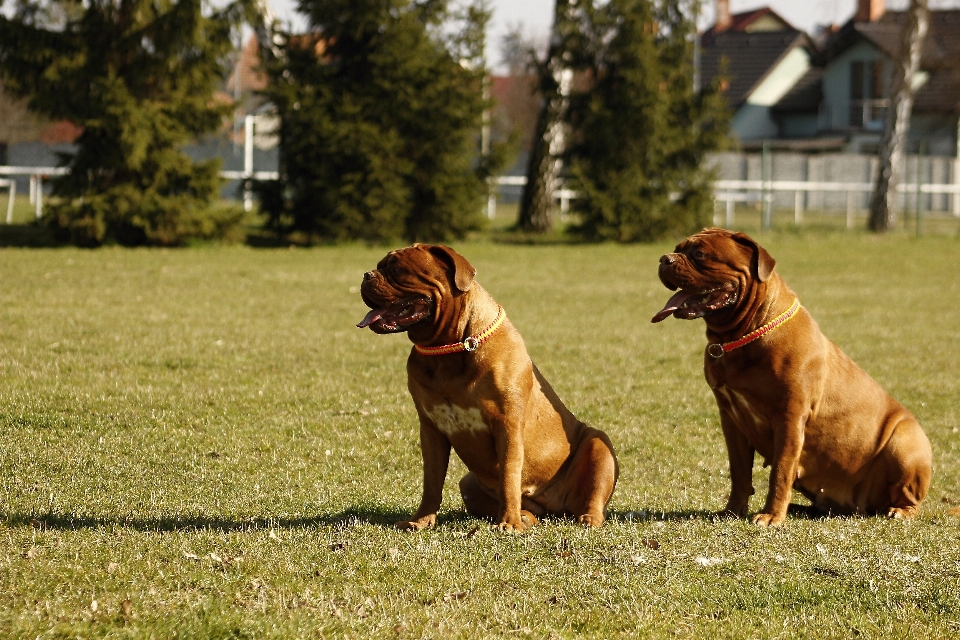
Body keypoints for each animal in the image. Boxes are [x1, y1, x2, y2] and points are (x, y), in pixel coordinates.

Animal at [356, 245, 620, 528]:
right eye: (379, 266)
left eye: (396, 269)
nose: (366, 275)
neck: (449, 349)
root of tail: (554, 508)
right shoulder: (431, 429)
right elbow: (432, 481)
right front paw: (421, 520)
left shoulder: (507, 424)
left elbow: (509, 476)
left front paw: (509, 523)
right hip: (468, 483)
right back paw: (525, 516)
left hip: (599, 444)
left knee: (593, 497)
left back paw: (585, 517)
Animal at [652, 229, 928, 524]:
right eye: (678, 248)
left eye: (700, 254)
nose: (665, 259)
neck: (744, 334)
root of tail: (858, 507)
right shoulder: (731, 420)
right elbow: (739, 473)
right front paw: (732, 511)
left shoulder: (789, 418)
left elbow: (780, 472)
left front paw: (771, 516)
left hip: (905, 443)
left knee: (909, 498)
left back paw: (899, 510)